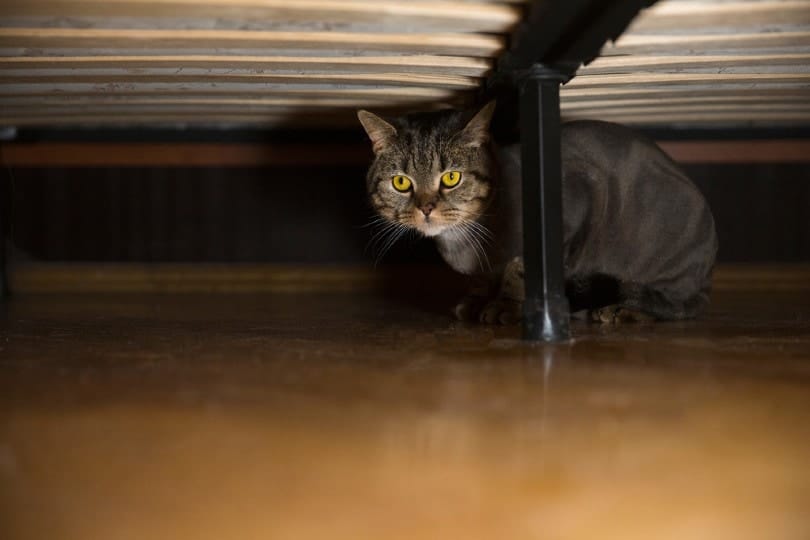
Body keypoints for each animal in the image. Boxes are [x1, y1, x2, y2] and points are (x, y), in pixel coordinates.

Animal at [356, 104, 716, 324]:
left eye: (451, 177)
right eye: (401, 182)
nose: (426, 207)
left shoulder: (572, 203)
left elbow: (521, 268)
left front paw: (506, 306)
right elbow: (483, 279)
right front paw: (477, 300)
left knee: (680, 305)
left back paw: (624, 310)